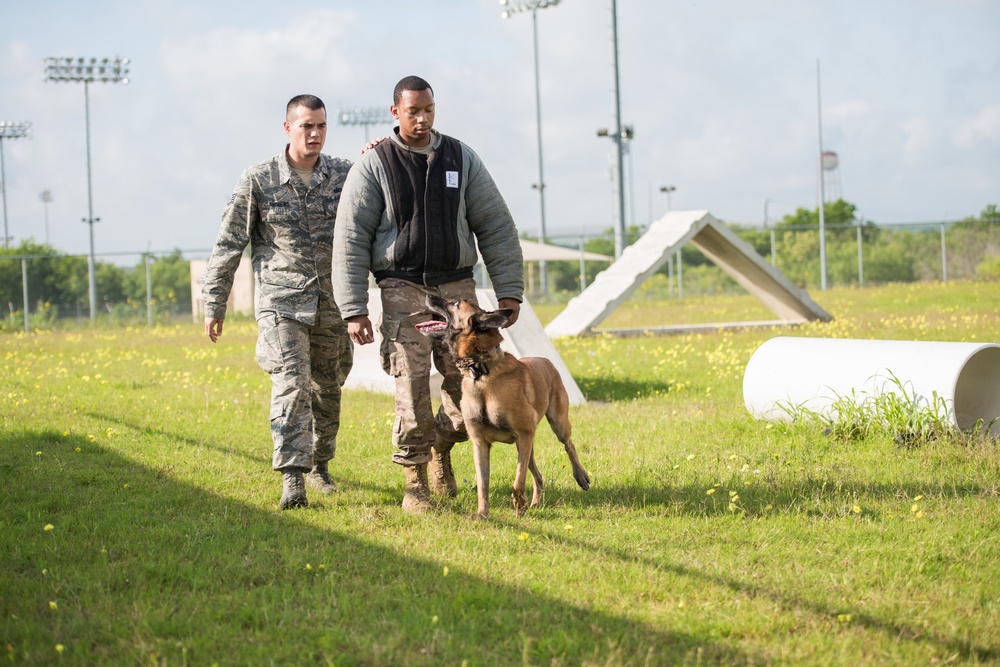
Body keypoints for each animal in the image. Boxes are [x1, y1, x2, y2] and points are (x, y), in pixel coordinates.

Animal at [412, 294, 584, 520]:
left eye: (456, 303)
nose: (428, 295)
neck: (481, 373)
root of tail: (544, 359)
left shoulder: (523, 434)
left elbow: (518, 482)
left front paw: (519, 506)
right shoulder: (480, 443)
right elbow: (483, 485)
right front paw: (483, 515)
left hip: (556, 424)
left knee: (569, 445)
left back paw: (581, 477)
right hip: (527, 445)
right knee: (537, 474)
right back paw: (536, 501)